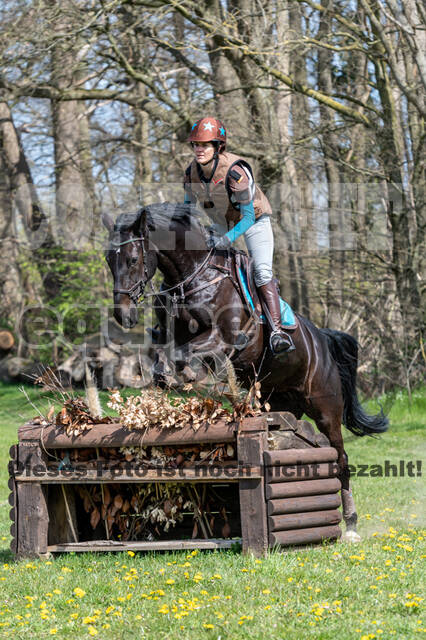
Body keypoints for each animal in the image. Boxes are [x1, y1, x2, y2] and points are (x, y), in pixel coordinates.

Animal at [101, 201, 388, 540]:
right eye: (108, 261)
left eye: (133, 259)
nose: (123, 315)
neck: (192, 276)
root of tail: (321, 338)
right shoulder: (172, 335)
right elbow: (163, 358)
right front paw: (175, 381)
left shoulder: (224, 338)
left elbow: (185, 355)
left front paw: (195, 380)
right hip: (282, 403)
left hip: (325, 407)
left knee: (340, 457)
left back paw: (352, 524)